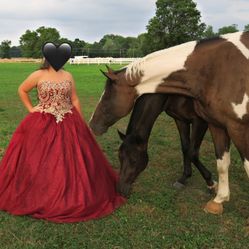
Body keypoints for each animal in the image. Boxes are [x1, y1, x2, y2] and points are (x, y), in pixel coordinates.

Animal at [89, 31, 249, 214]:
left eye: (107, 97)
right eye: (119, 157)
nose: (92, 125)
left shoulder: (202, 122)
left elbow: (193, 152)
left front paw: (211, 183)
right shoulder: (181, 120)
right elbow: (187, 149)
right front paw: (184, 178)